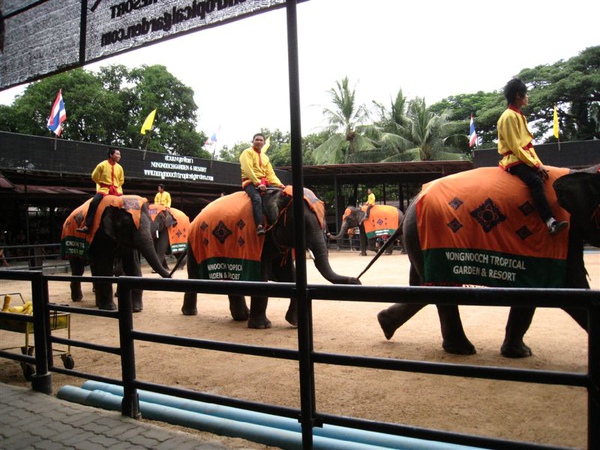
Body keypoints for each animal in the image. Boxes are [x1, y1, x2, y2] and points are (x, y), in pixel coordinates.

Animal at [182, 185, 360, 328]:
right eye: (303, 225)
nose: (357, 281)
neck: (279, 195)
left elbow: (289, 275)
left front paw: (294, 323)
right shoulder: (259, 236)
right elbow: (262, 276)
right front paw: (262, 326)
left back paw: (241, 317)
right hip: (194, 242)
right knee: (193, 275)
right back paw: (190, 313)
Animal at [378, 165, 596, 358]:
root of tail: (414, 200)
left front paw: (519, 353)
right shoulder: (560, 236)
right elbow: (569, 285)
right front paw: (521, 353)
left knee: (422, 287)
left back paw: (385, 323)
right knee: (438, 288)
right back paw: (462, 350)